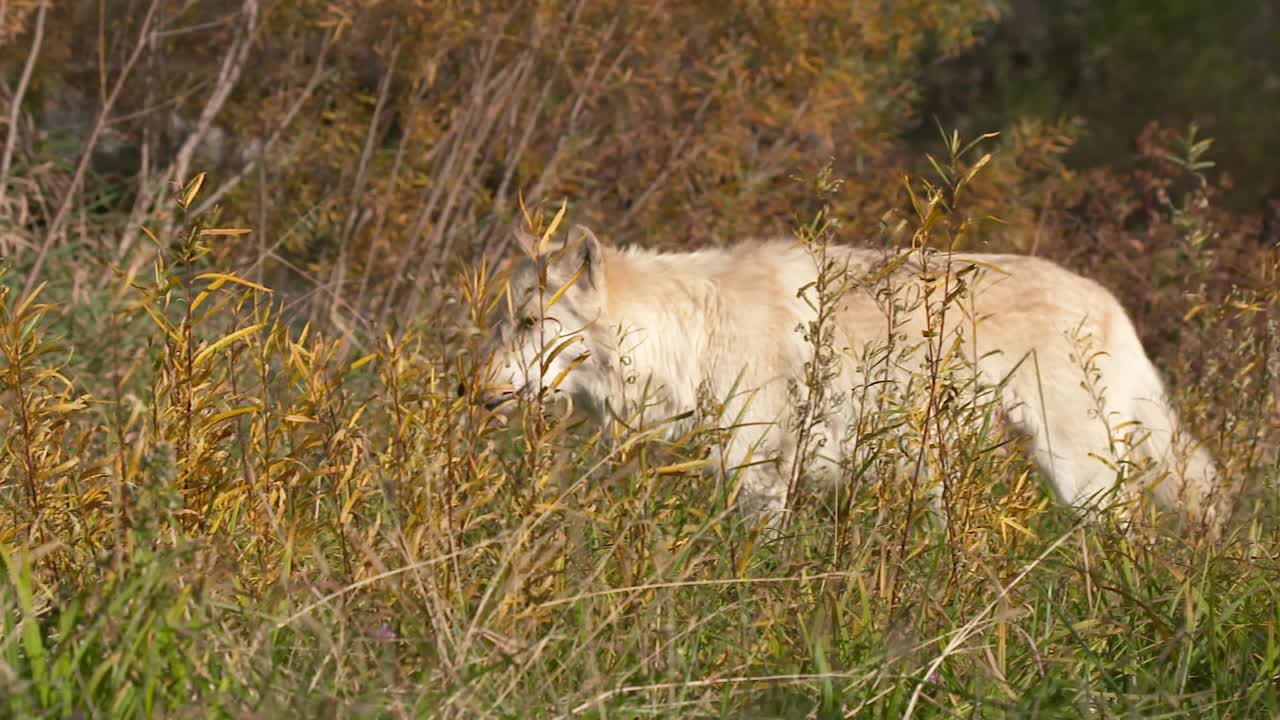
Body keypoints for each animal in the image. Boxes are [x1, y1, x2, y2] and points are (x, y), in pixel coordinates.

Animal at [483, 225, 1223, 532]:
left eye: (529, 322)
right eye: (502, 321)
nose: (475, 393)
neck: (685, 335)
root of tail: (1111, 302)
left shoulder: (761, 477)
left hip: (1081, 475)